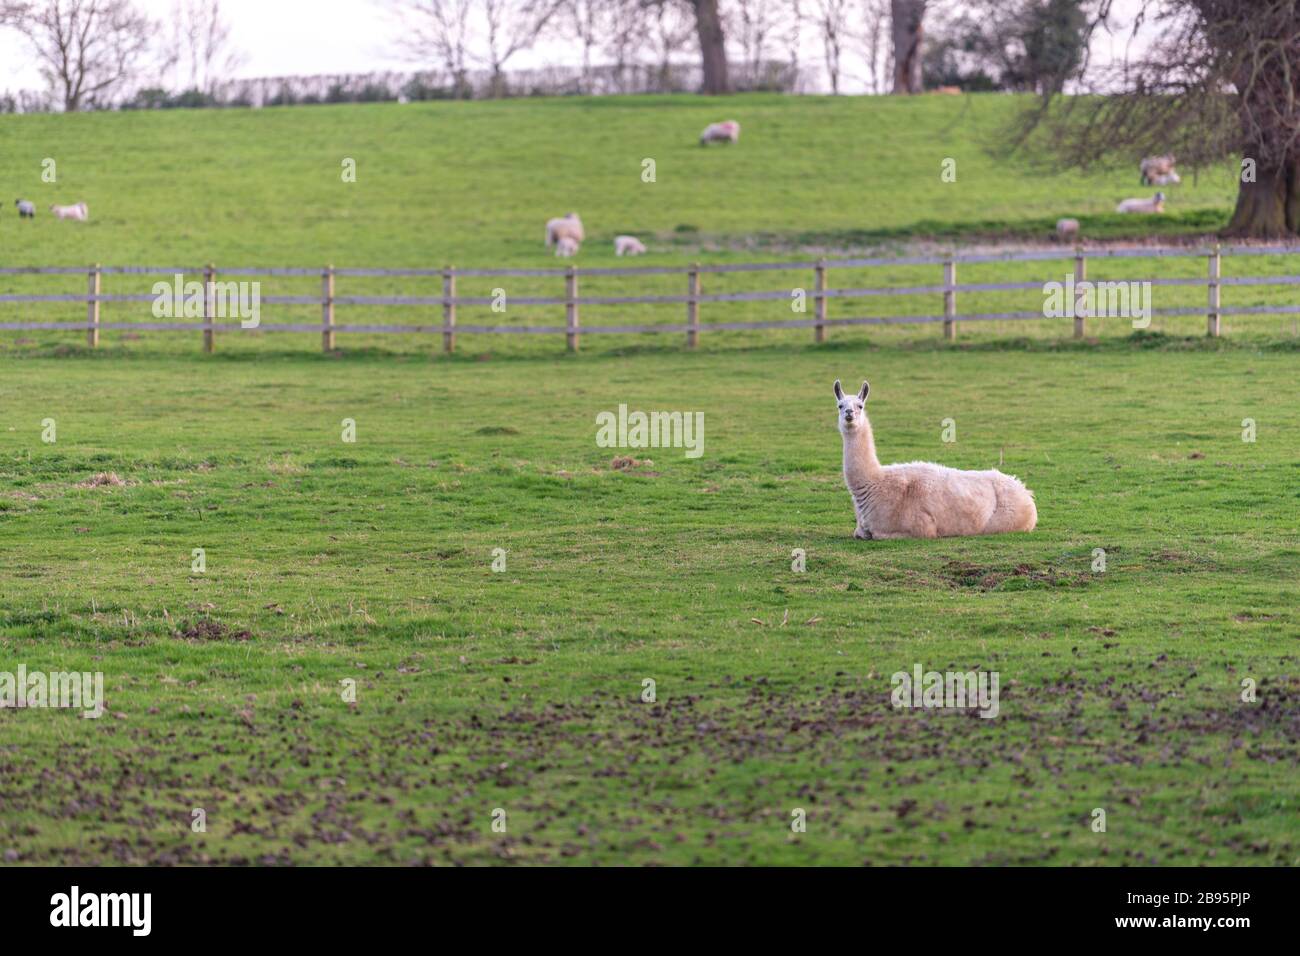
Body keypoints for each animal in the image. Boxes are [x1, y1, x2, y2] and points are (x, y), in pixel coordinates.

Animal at [837, 379, 1040, 541]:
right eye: (839, 405)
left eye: (860, 405)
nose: (849, 413)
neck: (875, 482)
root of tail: (1025, 492)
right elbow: (859, 533)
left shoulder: (921, 527)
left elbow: (879, 535)